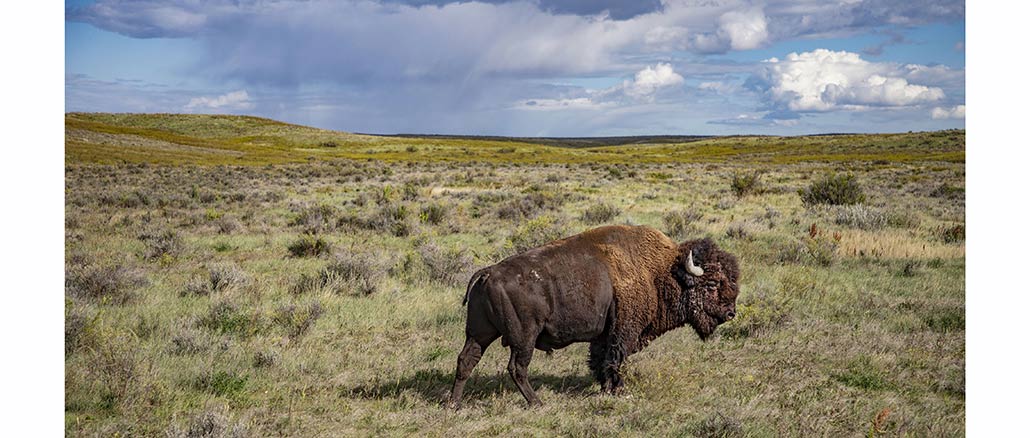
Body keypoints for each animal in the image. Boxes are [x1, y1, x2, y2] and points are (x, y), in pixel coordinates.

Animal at [448, 224, 740, 408]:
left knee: (466, 360)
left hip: (480, 332)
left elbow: (600, 360)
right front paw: (617, 390)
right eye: (712, 284)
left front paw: (604, 387)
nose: (730, 313)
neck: (661, 272)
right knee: (516, 368)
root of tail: (488, 272)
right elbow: (614, 360)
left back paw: (454, 404)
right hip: (524, 337)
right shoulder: (622, 333)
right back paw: (537, 403)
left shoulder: (603, 335)